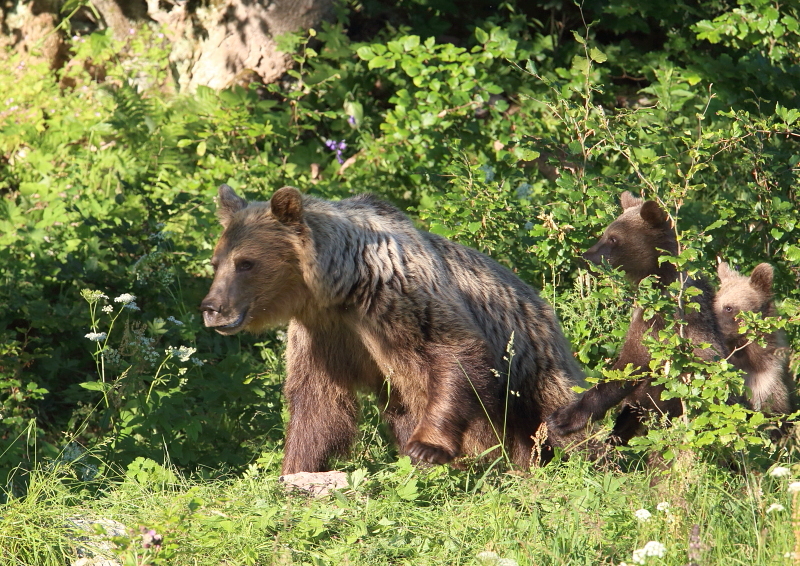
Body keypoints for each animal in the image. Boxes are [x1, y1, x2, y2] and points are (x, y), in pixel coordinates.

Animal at [203, 184, 584, 472]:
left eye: (246, 263)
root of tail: (544, 307)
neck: (340, 289)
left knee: (565, 419)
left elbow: (454, 353)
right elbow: (317, 403)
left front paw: (428, 447)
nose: (211, 308)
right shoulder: (323, 334)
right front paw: (295, 468)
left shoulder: (398, 298)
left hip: (533, 370)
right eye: (216, 262)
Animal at [548, 193, 728, 446]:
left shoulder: (660, 321)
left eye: (613, 238)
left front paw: (564, 418)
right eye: (605, 234)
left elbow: (630, 365)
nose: (586, 257)